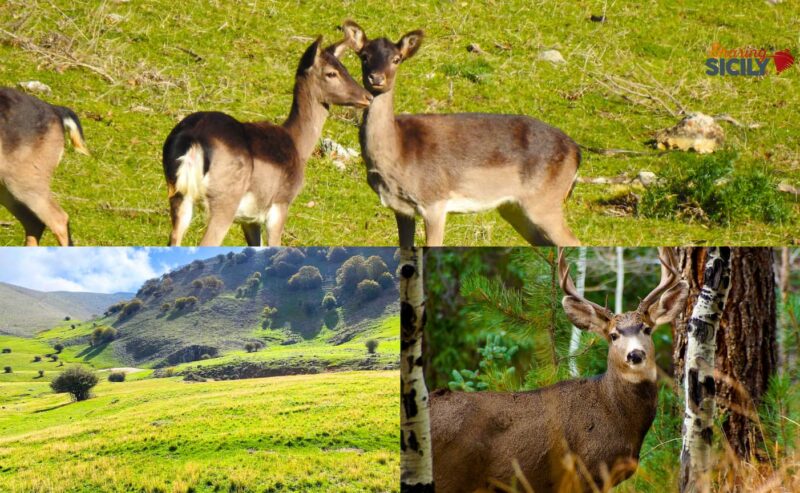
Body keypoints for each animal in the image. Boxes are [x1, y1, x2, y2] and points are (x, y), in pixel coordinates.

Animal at [165, 35, 376, 246]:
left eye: (345, 67)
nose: (368, 97)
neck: (299, 147)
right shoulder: (280, 203)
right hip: (225, 200)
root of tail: (193, 140)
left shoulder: (250, 219)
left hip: (178, 194)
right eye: (331, 73)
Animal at [340, 20, 580, 248]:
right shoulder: (401, 209)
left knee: (572, 242)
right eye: (364, 56)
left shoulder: (434, 202)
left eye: (397, 59)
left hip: (545, 201)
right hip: (515, 208)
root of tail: (576, 152)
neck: (398, 154)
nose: (377, 78)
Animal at [432, 248, 688, 490]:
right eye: (613, 335)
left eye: (646, 328)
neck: (616, 414)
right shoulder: (584, 471)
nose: (635, 354)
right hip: (450, 476)